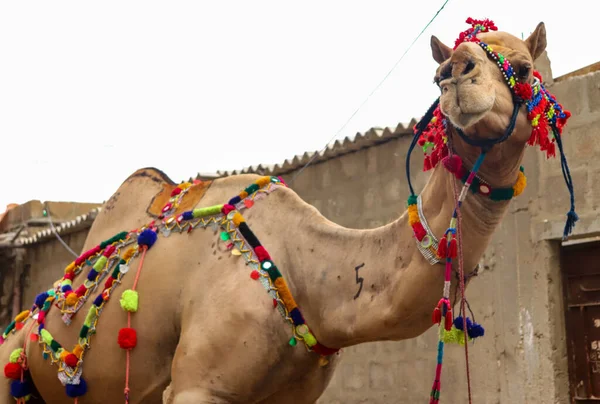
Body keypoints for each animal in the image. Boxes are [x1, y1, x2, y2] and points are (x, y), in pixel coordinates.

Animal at [0, 18, 576, 404]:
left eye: (523, 68)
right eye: (436, 74)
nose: (456, 73)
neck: (307, 275)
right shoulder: (197, 385)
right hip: (15, 366)